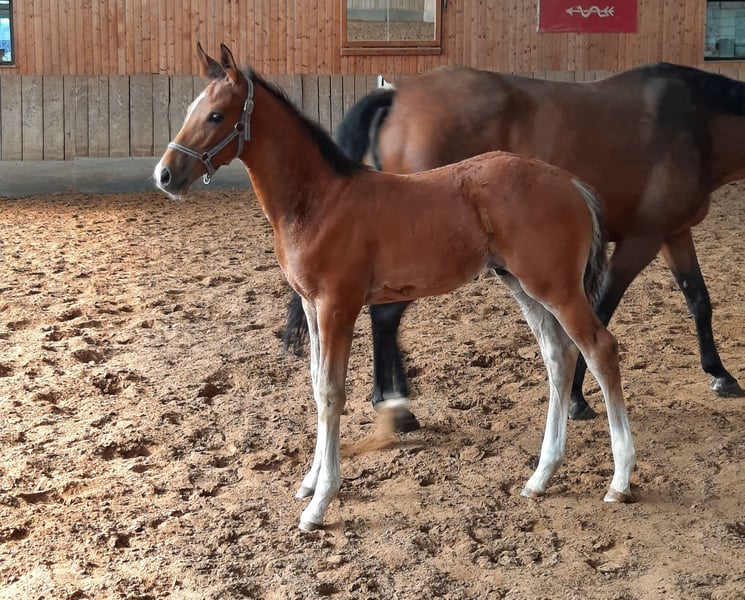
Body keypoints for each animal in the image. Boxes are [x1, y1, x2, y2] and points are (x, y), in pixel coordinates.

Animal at [154, 44, 636, 531]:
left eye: (216, 115)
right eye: (190, 109)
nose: (165, 175)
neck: (320, 203)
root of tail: (571, 182)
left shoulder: (337, 306)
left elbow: (331, 394)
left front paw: (320, 502)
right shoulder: (311, 307)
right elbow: (315, 386)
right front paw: (310, 482)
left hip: (556, 287)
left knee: (600, 349)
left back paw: (619, 481)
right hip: (523, 285)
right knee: (559, 356)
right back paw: (541, 476)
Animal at [284, 62, 745, 423]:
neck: (694, 123)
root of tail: (398, 95)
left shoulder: (673, 234)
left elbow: (698, 298)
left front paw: (721, 374)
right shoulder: (640, 242)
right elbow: (601, 312)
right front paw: (577, 398)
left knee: (386, 319)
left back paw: (394, 402)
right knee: (385, 317)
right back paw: (393, 406)